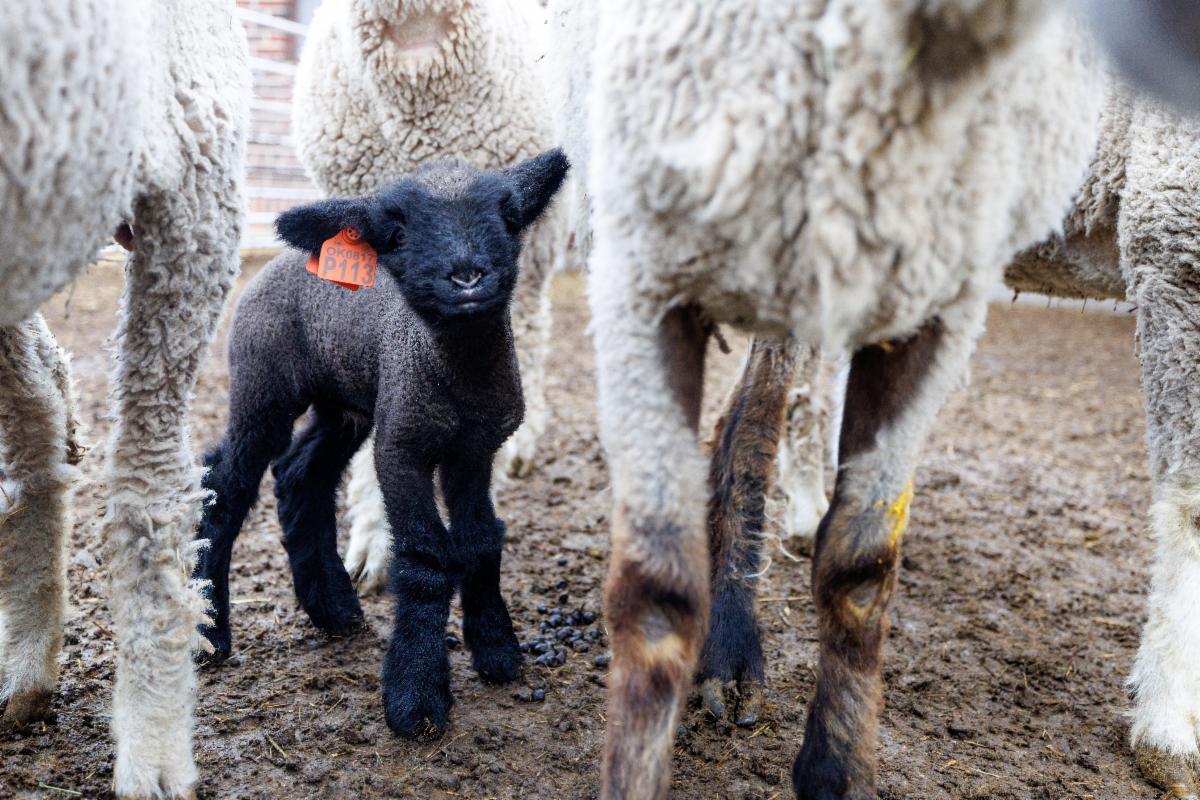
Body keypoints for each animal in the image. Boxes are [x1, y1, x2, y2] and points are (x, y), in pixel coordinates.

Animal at [192, 151, 569, 737]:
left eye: (509, 217)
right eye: (396, 234)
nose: (467, 277)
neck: (456, 378)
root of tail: (279, 262)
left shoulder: (476, 449)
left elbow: (482, 540)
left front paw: (497, 650)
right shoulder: (400, 448)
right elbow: (424, 556)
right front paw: (416, 698)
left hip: (347, 400)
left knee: (301, 473)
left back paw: (333, 608)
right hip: (263, 383)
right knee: (226, 483)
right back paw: (210, 631)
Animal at [548, 0, 1104, 797]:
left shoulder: (940, 296)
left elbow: (863, 561)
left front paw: (837, 767)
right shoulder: (645, 264)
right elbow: (655, 584)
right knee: (750, 422)